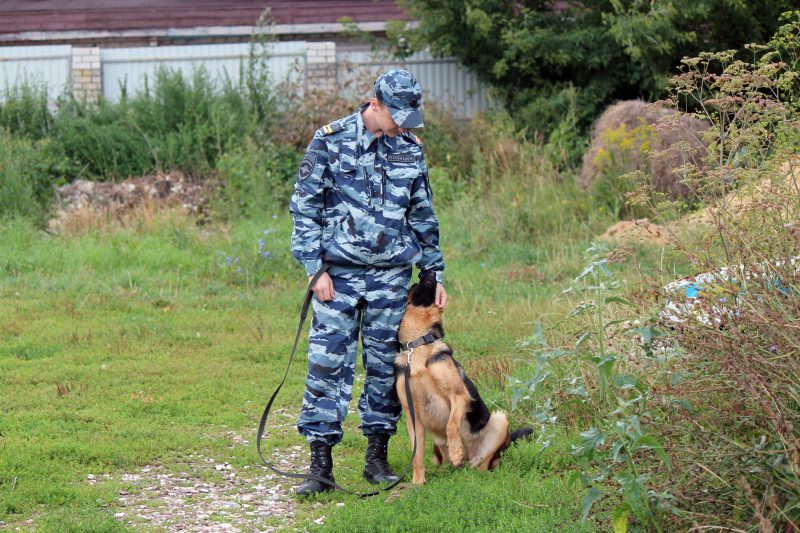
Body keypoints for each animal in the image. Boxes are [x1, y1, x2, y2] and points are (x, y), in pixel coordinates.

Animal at [394, 272, 532, 484]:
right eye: (414, 286)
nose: (430, 272)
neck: (419, 345)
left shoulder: (459, 395)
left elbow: (451, 425)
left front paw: (456, 451)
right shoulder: (412, 416)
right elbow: (416, 455)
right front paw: (417, 482)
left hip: (499, 421)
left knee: (481, 465)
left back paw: (468, 464)